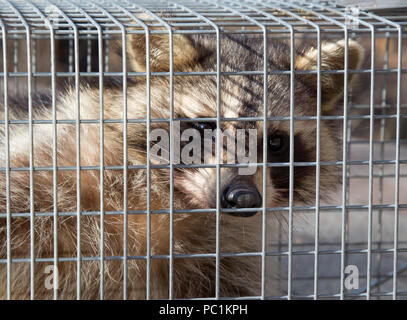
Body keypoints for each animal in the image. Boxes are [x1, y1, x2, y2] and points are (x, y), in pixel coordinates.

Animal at [0, 31, 364, 298]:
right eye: (205, 127)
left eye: (276, 142)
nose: (243, 197)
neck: (171, 199)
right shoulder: (60, 159)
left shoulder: (230, 253)